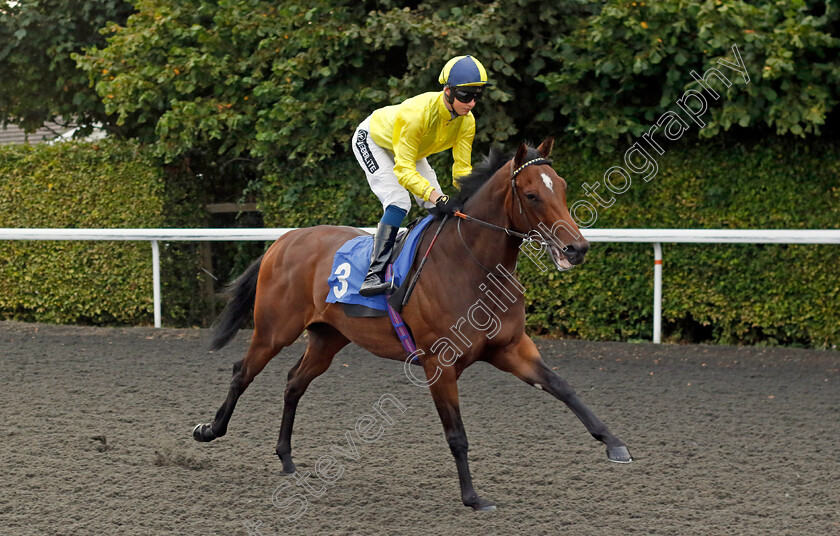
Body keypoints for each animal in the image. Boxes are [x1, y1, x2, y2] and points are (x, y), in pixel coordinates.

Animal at [194, 137, 632, 510]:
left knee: (293, 382)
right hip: (274, 330)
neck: (471, 265)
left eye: (561, 187)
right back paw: (209, 430)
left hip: (328, 338)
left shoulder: (511, 348)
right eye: (531, 195)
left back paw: (286, 458)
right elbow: (456, 434)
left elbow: (563, 387)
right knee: (242, 372)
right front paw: (473, 497)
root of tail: (284, 240)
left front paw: (614, 443)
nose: (576, 248)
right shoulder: (439, 363)